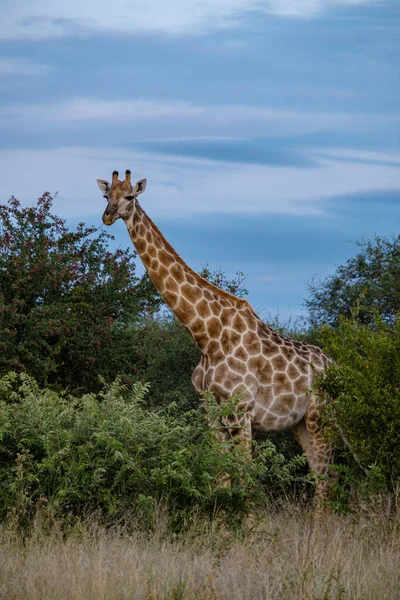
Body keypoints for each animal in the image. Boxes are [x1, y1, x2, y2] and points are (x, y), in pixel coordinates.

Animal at [98, 170, 336, 510]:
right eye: (106, 196)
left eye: (130, 196)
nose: (107, 216)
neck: (205, 334)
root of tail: (336, 365)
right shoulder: (211, 415)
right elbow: (221, 480)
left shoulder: (241, 412)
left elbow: (246, 479)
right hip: (299, 423)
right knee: (319, 474)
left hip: (320, 415)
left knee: (327, 476)